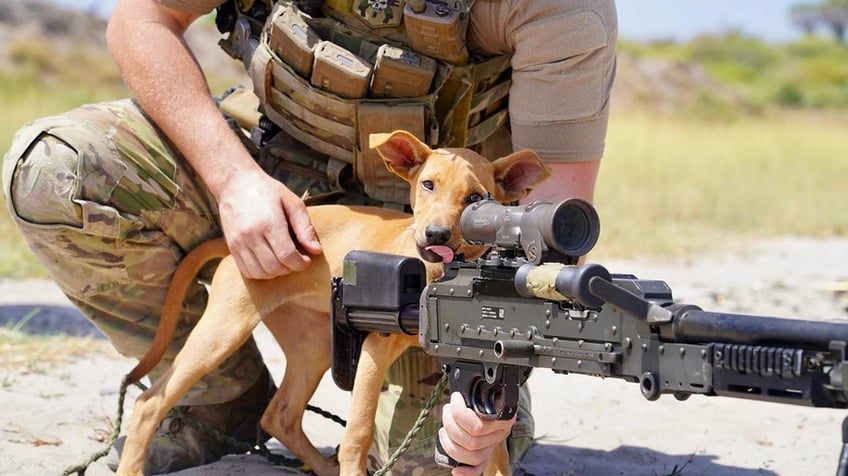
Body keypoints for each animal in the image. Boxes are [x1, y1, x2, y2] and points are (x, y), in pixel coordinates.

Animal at [114, 130, 548, 476]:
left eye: (475, 197)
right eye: (428, 184)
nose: (436, 234)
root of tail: (230, 239)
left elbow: (493, 449)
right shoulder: (374, 348)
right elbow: (357, 434)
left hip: (314, 344)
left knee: (280, 415)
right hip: (223, 330)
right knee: (150, 403)